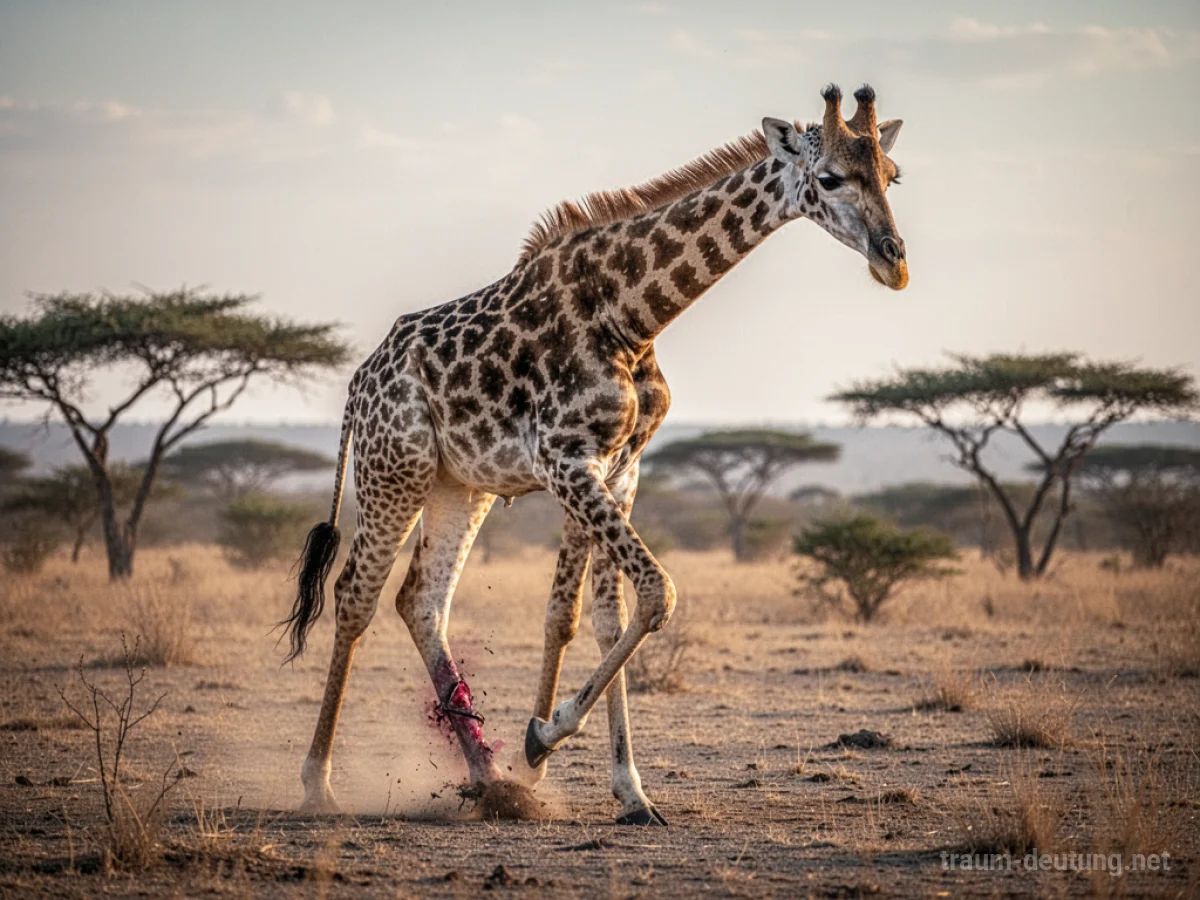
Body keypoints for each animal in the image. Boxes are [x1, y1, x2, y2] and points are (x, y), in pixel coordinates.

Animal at [283, 84, 907, 824]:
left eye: (892, 176)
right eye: (830, 178)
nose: (894, 260)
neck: (633, 314)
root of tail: (359, 382)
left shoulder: (620, 469)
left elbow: (600, 618)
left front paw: (626, 790)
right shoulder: (565, 460)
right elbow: (657, 593)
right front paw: (542, 738)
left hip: (459, 486)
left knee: (422, 600)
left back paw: (489, 779)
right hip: (394, 471)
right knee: (357, 595)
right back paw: (319, 782)